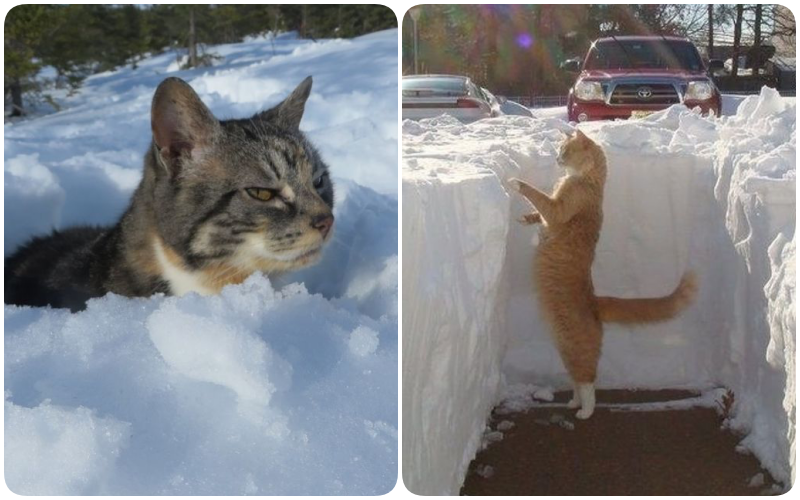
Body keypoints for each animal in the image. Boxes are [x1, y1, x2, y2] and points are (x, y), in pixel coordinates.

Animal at [510, 129, 696, 418]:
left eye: (564, 150)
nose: (556, 158)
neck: (590, 182)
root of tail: (594, 301)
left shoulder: (557, 210)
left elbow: (538, 197)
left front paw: (516, 184)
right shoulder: (551, 212)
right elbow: (538, 213)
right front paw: (525, 218)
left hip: (574, 344)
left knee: (588, 380)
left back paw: (584, 411)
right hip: (565, 347)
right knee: (577, 378)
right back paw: (573, 402)